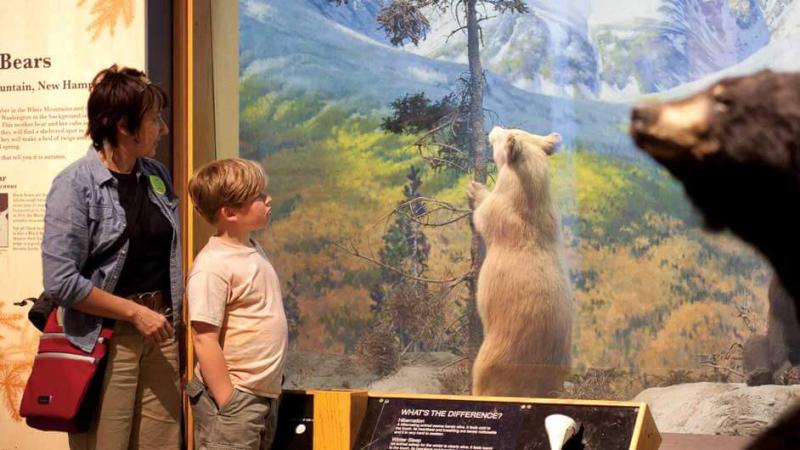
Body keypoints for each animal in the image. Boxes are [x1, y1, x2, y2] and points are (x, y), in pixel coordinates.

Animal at [468, 125, 576, 396]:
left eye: (509, 131)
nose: (494, 128)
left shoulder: (498, 210)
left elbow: (482, 215)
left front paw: (474, 188)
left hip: (486, 362)